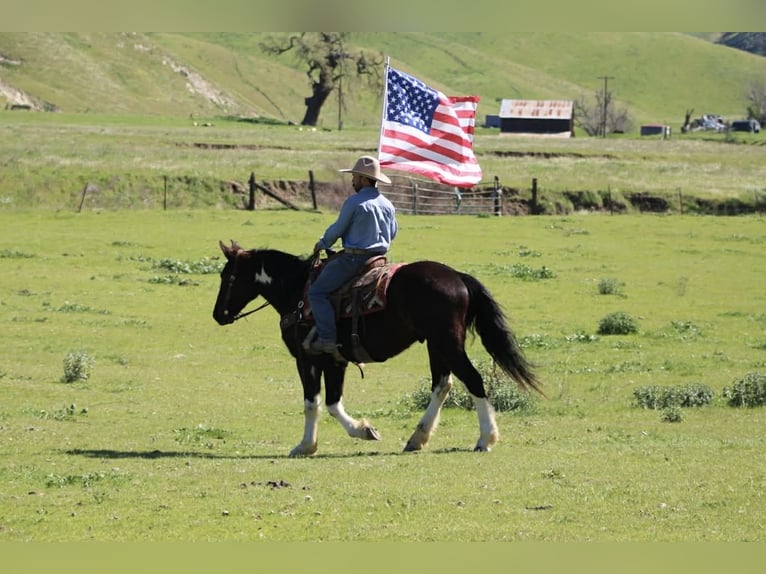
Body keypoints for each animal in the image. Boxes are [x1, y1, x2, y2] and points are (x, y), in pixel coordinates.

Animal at [212, 240, 542, 457]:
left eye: (227, 276)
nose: (218, 315)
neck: (298, 292)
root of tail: (458, 277)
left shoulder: (308, 358)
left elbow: (313, 403)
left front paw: (306, 445)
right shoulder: (336, 361)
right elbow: (333, 402)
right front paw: (364, 430)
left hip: (446, 343)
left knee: (471, 379)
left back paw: (485, 439)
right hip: (437, 345)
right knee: (442, 384)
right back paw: (417, 438)